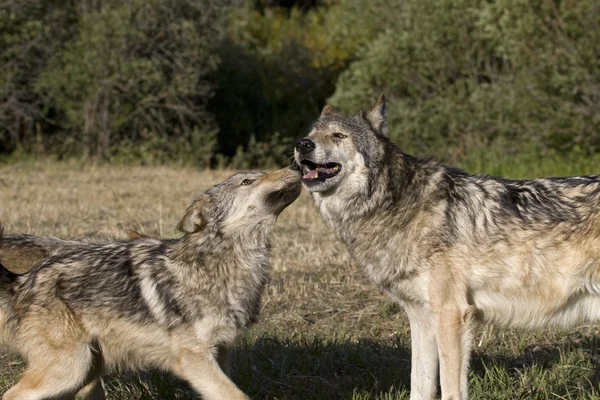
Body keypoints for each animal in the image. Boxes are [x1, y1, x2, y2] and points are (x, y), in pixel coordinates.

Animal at [0, 166, 300, 400]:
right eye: (248, 181)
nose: (296, 165)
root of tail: (22, 281)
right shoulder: (194, 358)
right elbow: (236, 394)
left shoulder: (221, 353)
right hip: (68, 369)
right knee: (11, 395)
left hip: (85, 371)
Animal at [296, 97, 600, 400]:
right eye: (312, 134)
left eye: (339, 135)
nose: (302, 144)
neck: (400, 205)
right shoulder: (420, 319)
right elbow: (419, 386)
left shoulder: (452, 315)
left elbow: (451, 390)